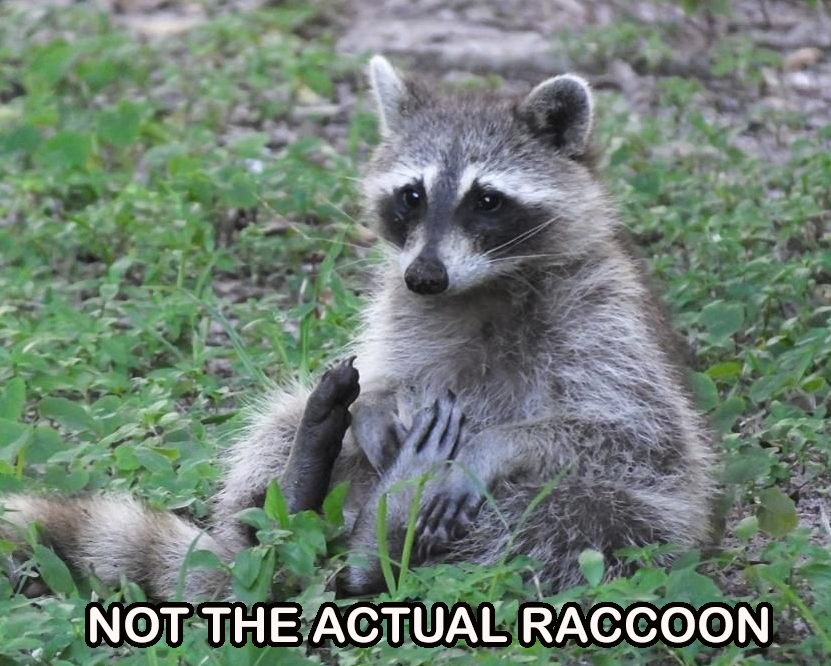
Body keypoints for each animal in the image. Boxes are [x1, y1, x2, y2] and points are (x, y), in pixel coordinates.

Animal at [0, 56, 716, 600]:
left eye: (487, 200)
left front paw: (495, 444)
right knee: (278, 431)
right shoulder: (398, 312)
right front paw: (373, 406)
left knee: (580, 516)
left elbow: (633, 433)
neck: (478, 288)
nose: (424, 277)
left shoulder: (604, 317)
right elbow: (381, 379)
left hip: (637, 515)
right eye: (412, 195)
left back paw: (383, 542)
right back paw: (299, 486)